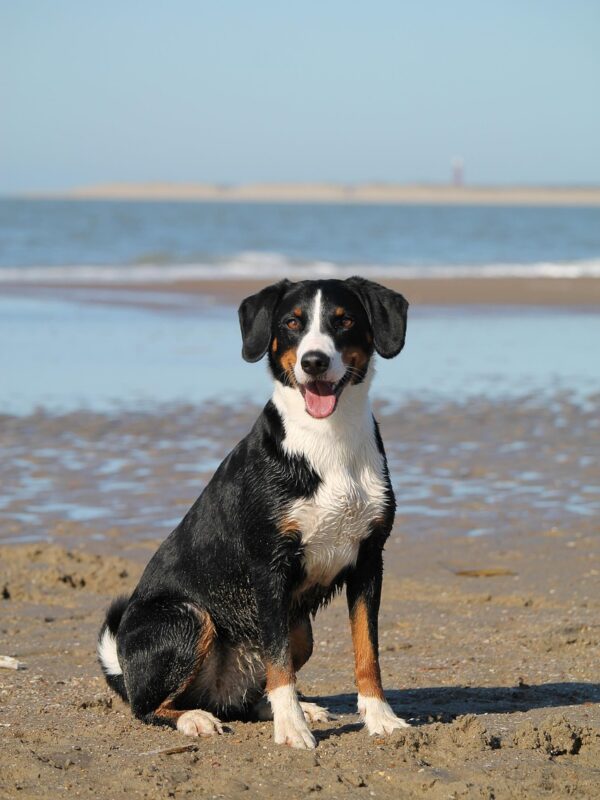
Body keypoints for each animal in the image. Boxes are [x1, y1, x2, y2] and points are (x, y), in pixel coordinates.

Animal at [97, 276, 408, 752]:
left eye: (344, 321)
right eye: (292, 323)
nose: (314, 361)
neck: (328, 441)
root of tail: (124, 667)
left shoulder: (368, 561)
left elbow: (366, 652)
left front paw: (379, 717)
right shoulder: (268, 568)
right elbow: (279, 665)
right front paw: (292, 729)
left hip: (300, 630)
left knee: (247, 697)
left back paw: (297, 708)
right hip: (188, 616)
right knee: (149, 706)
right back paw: (197, 719)